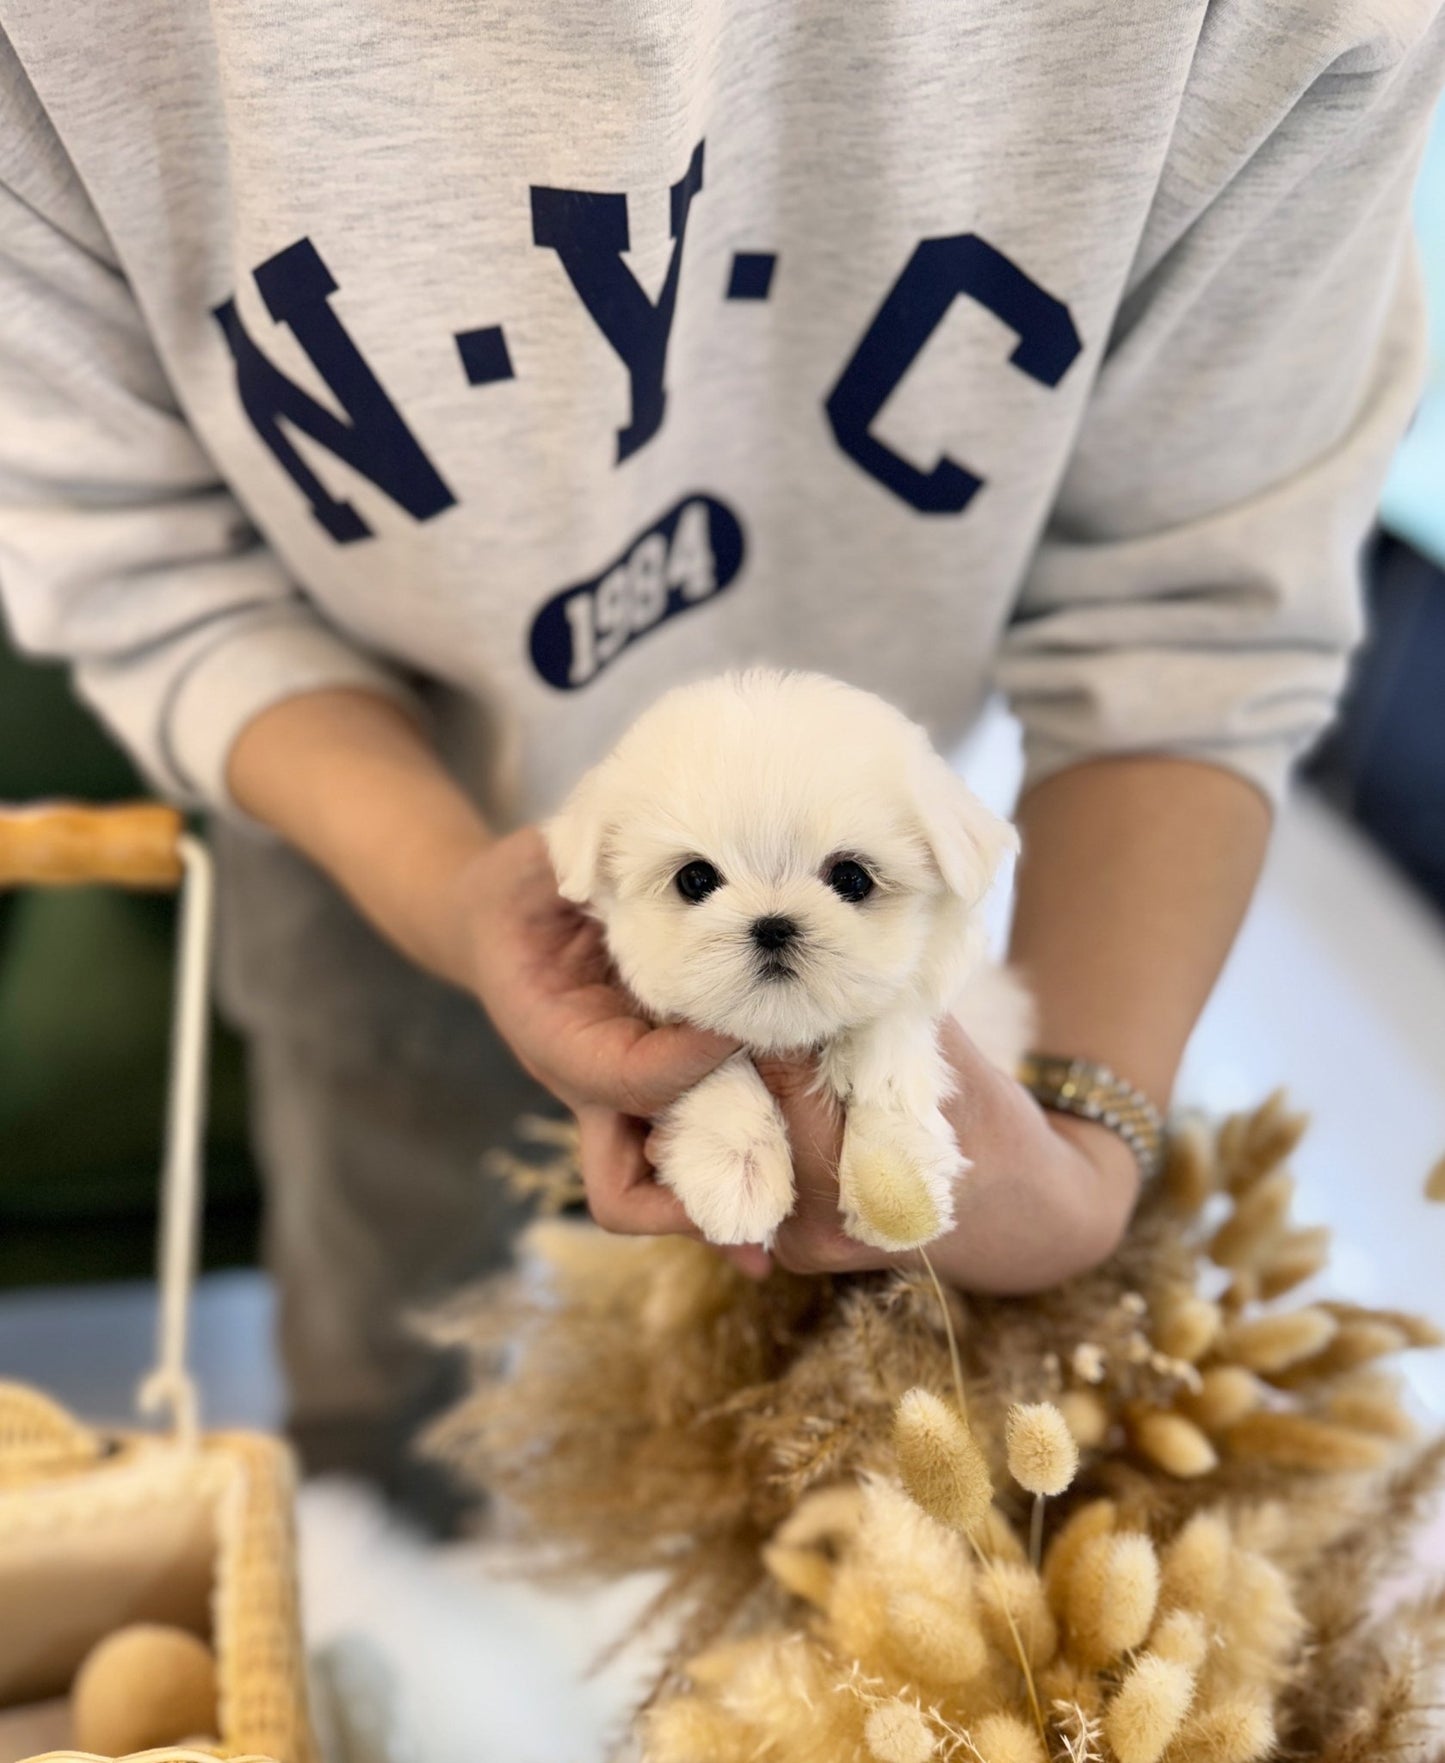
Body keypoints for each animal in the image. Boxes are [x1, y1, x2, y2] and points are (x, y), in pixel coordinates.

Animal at [542, 662, 1029, 1255]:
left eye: (851, 879)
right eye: (695, 879)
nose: (773, 926)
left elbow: (891, 1046)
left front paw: (895, 1188)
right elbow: (716, 1064)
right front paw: (735, 1166)